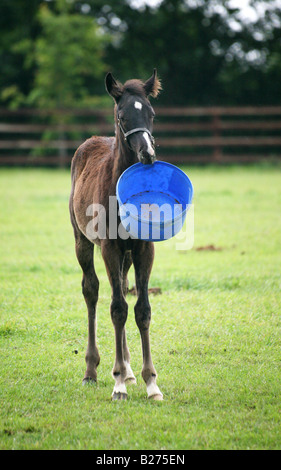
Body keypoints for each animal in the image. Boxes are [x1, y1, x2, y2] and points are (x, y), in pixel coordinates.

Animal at [69, 70, 163, 400]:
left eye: (151, 113)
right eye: (122, 116)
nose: (147, 154)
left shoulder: (144, 248)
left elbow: (141, 309)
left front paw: (151, 383)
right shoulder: (109, 246)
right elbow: (118, 308)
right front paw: (118, 383)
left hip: (126, 254)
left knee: (120, 286)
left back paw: (129, 369)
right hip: (83, 242)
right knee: (93, 291)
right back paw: (92, 370)